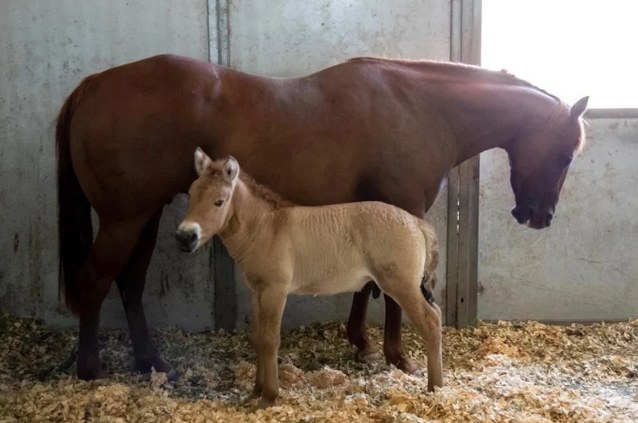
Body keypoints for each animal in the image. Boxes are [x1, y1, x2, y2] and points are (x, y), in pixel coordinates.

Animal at [56, 53, 592, 380]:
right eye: (565, 153)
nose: (538, 216)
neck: (418, 107)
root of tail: (90, 86)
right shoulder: (401, 209)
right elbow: (392, 293)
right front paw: (397, 355)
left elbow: (366, 283)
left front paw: (361, 342)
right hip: (125, 220)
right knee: (96, 279)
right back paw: (90, 368)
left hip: (144, 218)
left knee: (129, 283)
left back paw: (151, 361)